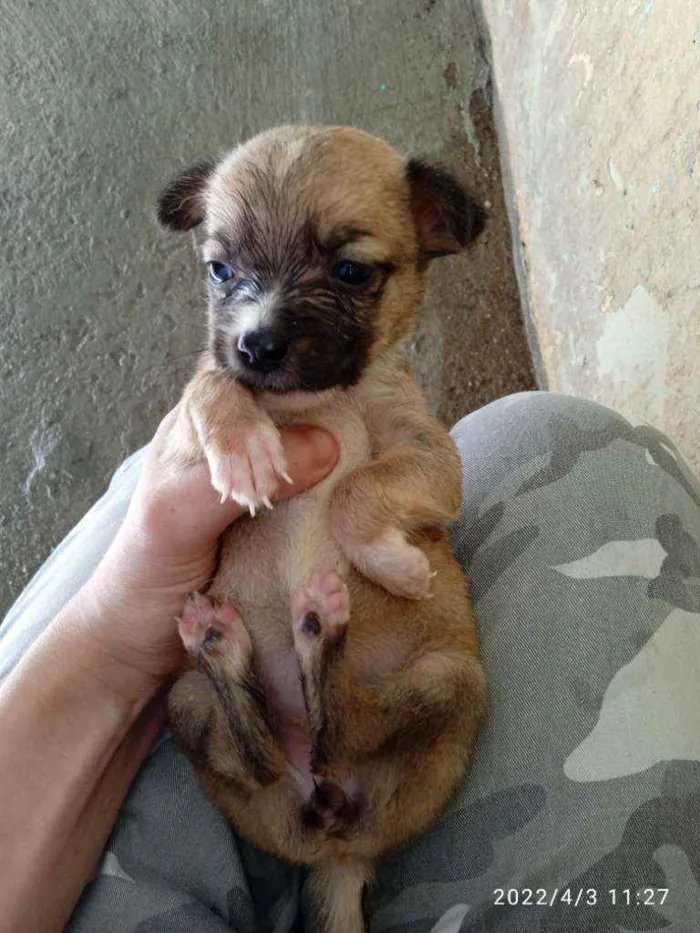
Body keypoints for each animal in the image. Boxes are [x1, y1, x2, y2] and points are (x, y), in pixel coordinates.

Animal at [160, 125, 486, 932]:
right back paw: (227, 643)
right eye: (219, 270)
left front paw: (392, 564)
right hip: (184, 703)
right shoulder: (181, 449)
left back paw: (318, 631)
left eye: (351, 271)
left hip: (452, 677)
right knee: (260, 755)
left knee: (349, 724)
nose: (256, 344)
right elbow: (208, 383)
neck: (312, 401)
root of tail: (338, 847)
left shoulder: (433, 458)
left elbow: (357, 491)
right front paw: (243, 445)